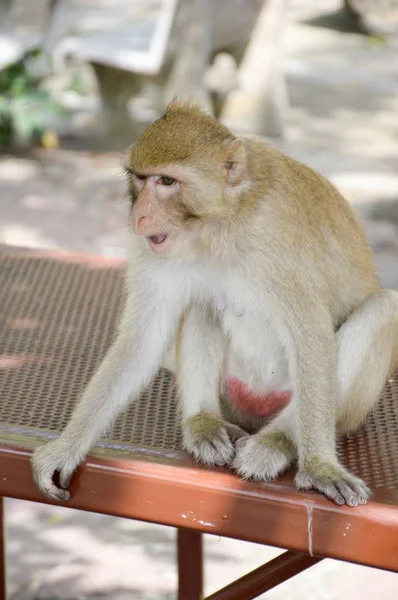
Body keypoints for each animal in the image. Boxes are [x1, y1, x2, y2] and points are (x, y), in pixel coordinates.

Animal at [31, 99, 398, 506]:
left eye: (167, 182)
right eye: (139, 179)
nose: (138, 216)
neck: (218, 226)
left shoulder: (278, 238)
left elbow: (312, 337)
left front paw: (320, 467)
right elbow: (144, 338)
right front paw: (66, 446)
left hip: (328, 409)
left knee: (382, 309)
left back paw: (280, 441)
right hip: (231, 398)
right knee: (201, 303)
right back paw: (202, 422)